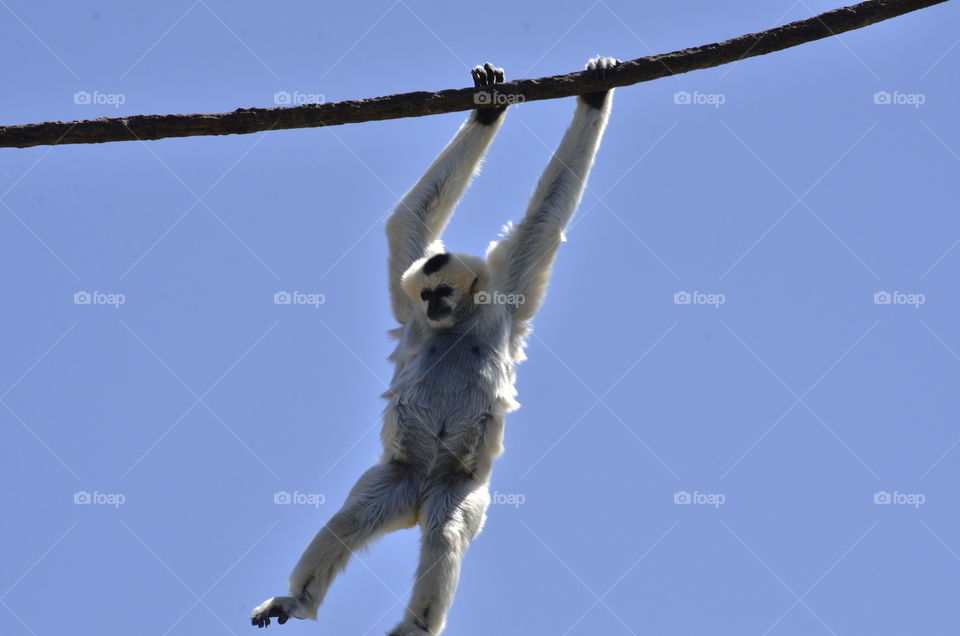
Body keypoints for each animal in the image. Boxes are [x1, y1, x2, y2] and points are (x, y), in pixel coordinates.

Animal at [252, 56, 618, 635]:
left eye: (443, 292)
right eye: (426, 295)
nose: (432, 306)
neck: (455, 325)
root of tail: (418, 500)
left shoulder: (505, 302)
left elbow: (543, 219)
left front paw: (594, 94)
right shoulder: (410, 312)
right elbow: (411, 219)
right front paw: (487, 108)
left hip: (458, 486)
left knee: (444, 532)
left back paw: (414, 624)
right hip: (398, 477)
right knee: (351, 518)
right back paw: (297, 599)